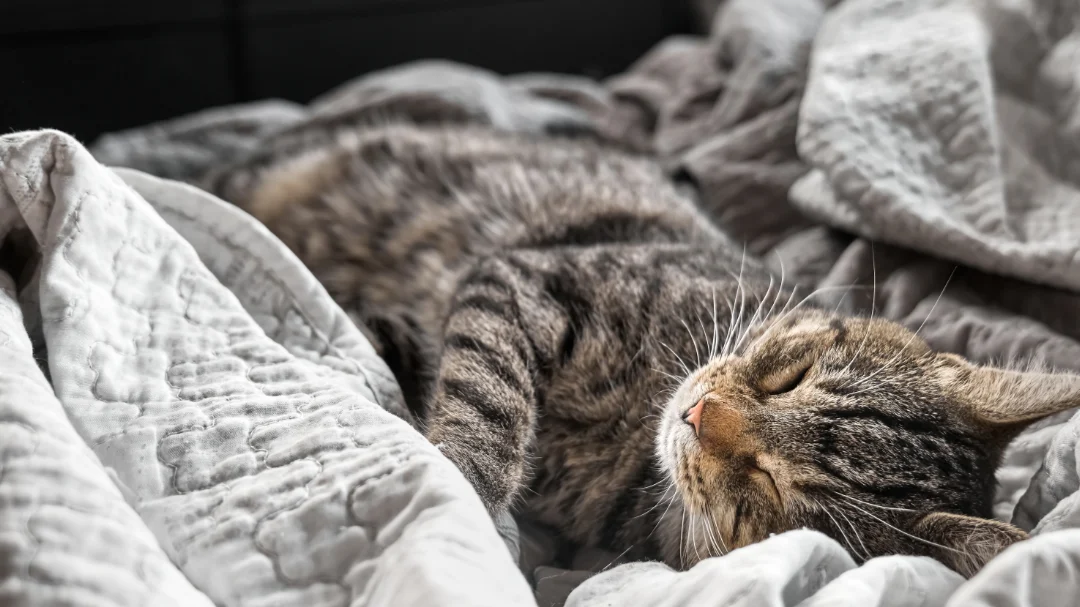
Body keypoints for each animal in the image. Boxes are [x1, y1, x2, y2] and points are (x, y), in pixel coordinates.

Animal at [204, 121, 1080, 570]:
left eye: (768, 490)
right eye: (790, 376)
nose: (697, 415)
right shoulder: (525, 278)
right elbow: (488, 401)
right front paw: (464, 487)